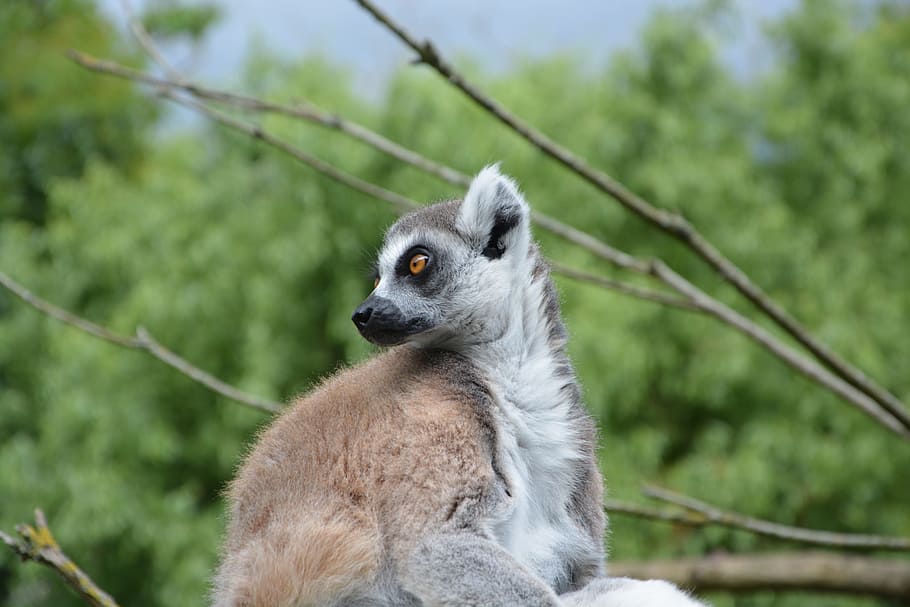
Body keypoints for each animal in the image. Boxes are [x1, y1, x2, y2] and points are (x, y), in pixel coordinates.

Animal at [212, 166, 706, 606]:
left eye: (416, 262)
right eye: (378, 277)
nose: (362, 313)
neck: (510, 373)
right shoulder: (433, 418)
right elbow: (434, 544)